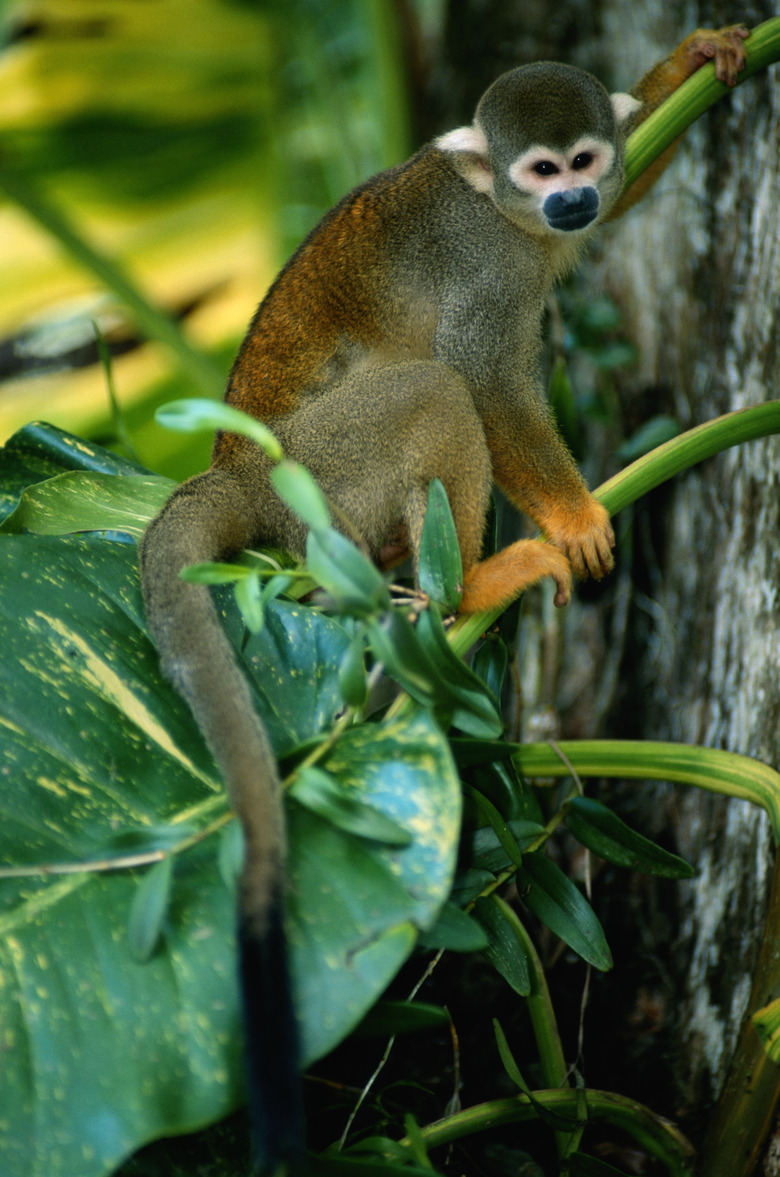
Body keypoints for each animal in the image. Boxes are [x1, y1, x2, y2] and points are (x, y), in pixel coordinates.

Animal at [140, 22, 752, 1172]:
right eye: (540, 171)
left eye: (583, 162)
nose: (571, 202)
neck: (501, 212)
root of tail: (236, 470)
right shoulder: (489, 270)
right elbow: (488, 380)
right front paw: (571, 516)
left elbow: (640, 170)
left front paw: (694, 62)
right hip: (324, 470)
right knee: (435, 388)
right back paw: (471, 583)